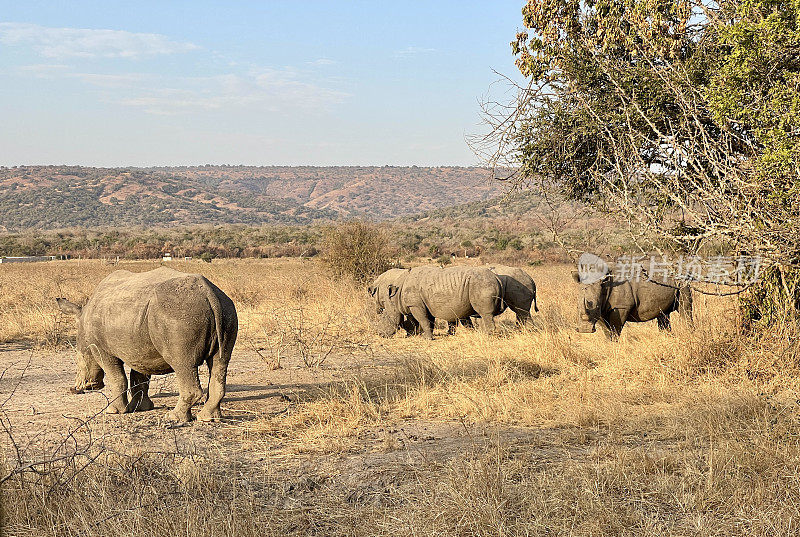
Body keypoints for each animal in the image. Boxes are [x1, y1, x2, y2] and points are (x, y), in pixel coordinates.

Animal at [57, 266, 238, 420]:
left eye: (79, 359)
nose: (75, 389)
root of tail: (210, 294)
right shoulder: (140, 347)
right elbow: (139, 378)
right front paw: (141, 408)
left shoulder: (101, 348)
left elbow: (116, 377)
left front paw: (114, 411)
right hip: (227, 310)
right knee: (220, 362)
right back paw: (208, 418)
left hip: (180, 314)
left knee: (183, 364)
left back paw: (174, 417)